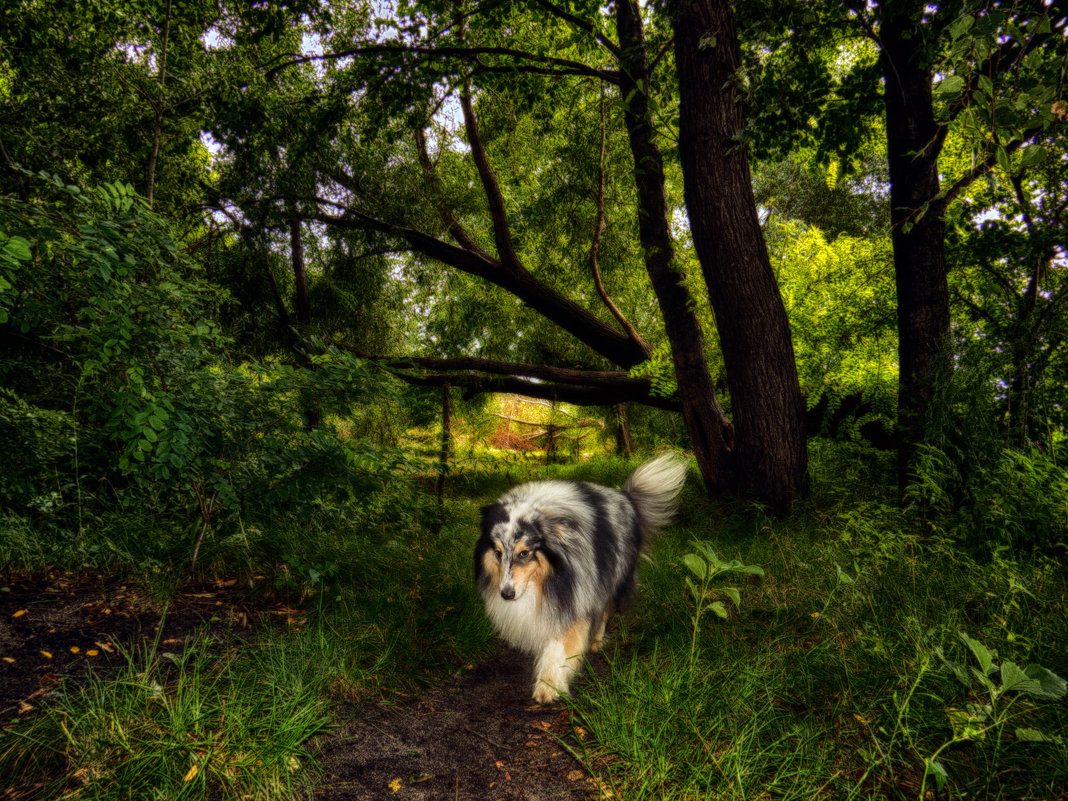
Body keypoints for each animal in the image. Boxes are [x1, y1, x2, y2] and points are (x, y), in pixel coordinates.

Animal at [474, 454, 687, 704]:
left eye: (524, 553)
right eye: (497, 552)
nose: (506, 594)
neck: (545, 581)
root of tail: (625, 496)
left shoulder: (574, 596)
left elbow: (558, 644)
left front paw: (548, 686)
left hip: (611, 575)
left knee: (604, 609)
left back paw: (596, 641)